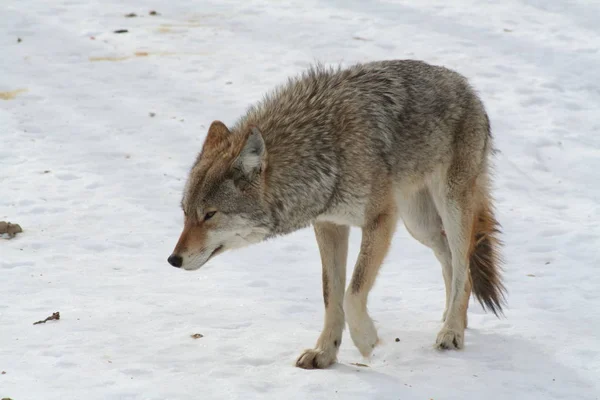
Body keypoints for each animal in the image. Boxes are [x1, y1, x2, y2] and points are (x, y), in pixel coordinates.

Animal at [166, 59, 504, 368]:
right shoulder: (329, 225)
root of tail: (467, 87)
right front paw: (325, 353)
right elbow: (332, 295)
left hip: (449, 208)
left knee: (464, 267)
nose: (173, 260)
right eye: (186, 213)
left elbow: (352, 293)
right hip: (420, 225)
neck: (325, 148)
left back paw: (452, 332)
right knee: (450, 260)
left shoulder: (380, 220)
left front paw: (366, 340)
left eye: (209, 215)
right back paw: (451, 319)